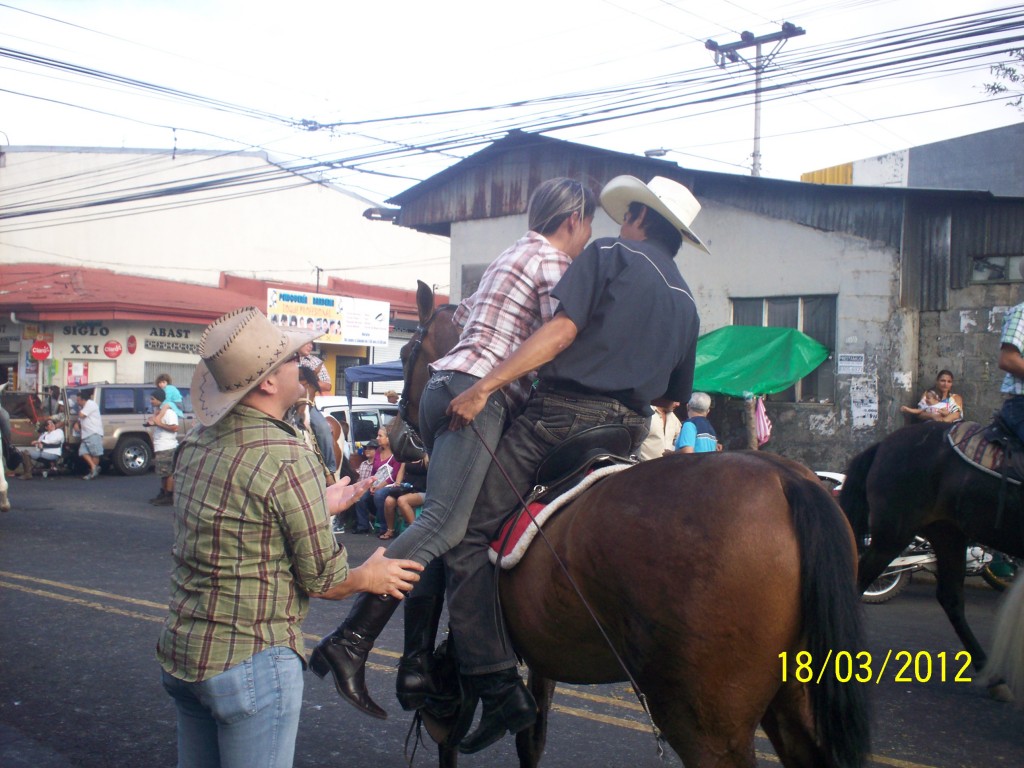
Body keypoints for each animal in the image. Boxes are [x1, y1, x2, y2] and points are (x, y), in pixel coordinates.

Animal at [395, 282, 868, 768]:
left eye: (406, 352)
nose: (399, 439)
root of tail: (787, 480)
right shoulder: (541, 651)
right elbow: (530, 736)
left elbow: (452, 731)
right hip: (793, 702)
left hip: (704, 724)